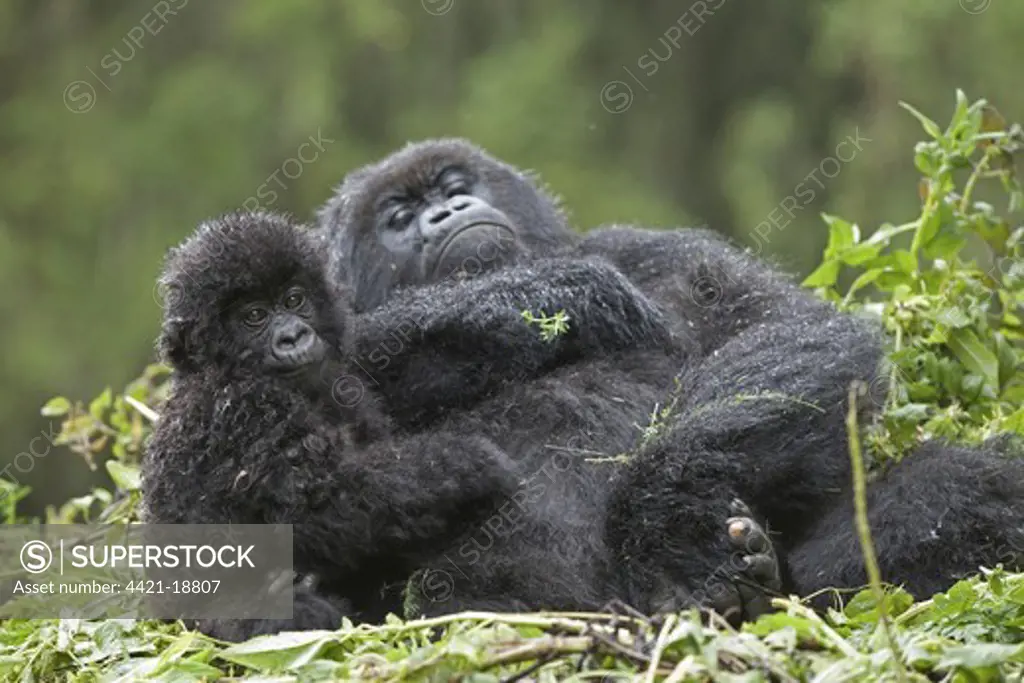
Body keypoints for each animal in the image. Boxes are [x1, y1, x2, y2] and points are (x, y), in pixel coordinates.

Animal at [319, 139, 1024, 610]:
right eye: (398, 218)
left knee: (956, 484)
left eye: (454, 184)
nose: (448, 212)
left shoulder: (650, 246)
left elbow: (790, 330)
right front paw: (543, 293)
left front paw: (668, 523)